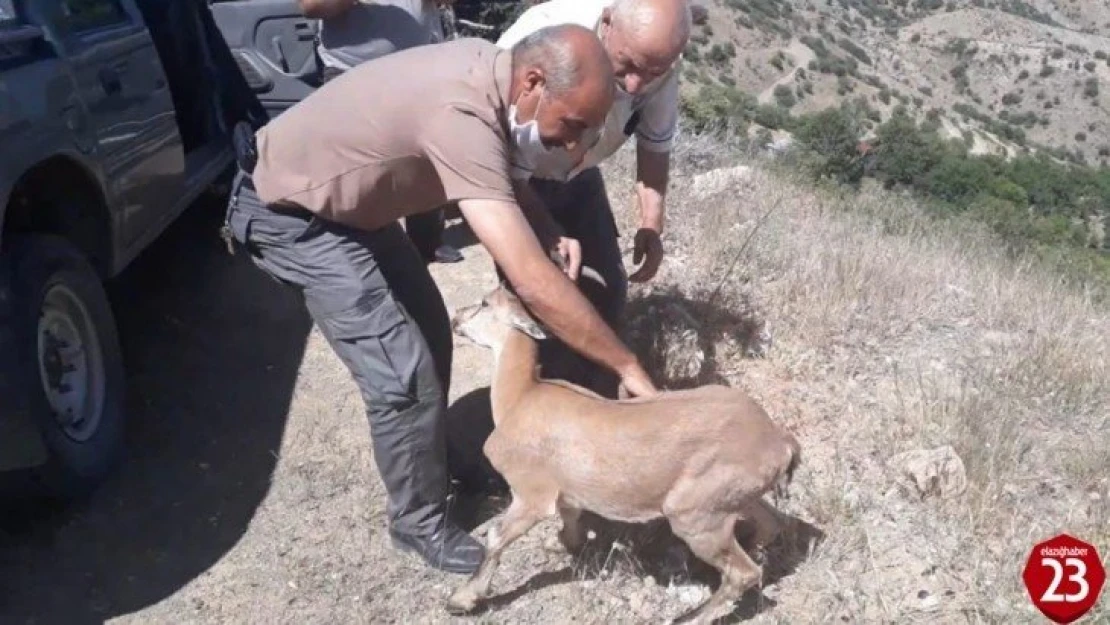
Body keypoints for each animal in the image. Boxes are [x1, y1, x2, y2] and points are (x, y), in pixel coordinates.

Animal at [446, 286, 803, 621]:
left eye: (484, 303)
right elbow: (570, 519)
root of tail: (779, 441)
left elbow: (496, 537)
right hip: (732, 494)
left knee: (742, 572)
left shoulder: (531, 492)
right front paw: (566, 545)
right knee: (770, 525)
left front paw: (462, 600)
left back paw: (689, 616)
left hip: (697, 513)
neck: (521, 397)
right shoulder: (568, 491)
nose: (456, 318)